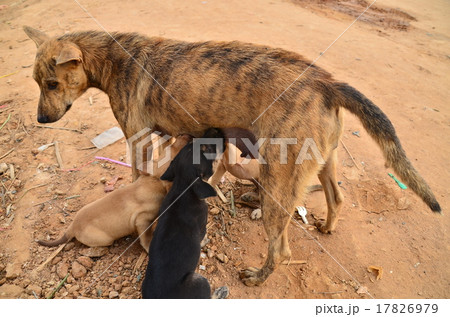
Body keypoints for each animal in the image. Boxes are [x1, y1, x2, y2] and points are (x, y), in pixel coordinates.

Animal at [37, 134, 192, 252]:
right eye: (177, 155)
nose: (186, 135)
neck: (153, 182)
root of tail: (72, 227)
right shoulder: (142, 221)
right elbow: (146, 238)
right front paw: (149, 247)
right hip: (105, 240)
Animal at [142, 127, 224, 298]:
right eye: (207, 149)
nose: (214, 129)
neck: (182, 186)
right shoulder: (202, 225)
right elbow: (202, 236)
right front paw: (204, 242)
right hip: (200, 281)